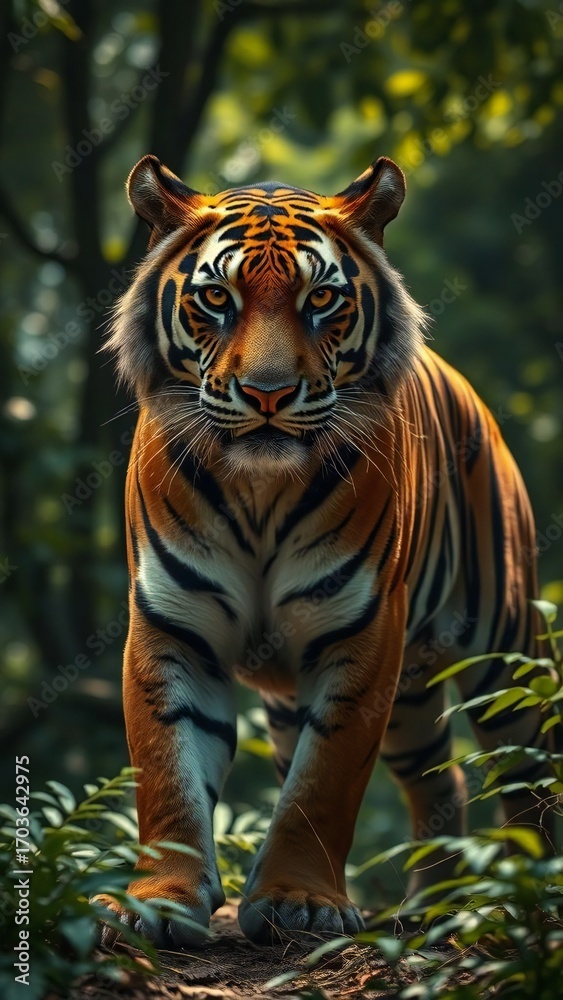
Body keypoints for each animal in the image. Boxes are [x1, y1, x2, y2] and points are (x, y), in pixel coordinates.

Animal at [101, 152, 554, 947]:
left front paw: (299, 901)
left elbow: (321, 786)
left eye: (321, 299)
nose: (267, 393)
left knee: (530, 764)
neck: (259, 491)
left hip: (505, 653)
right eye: (216, 297)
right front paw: (158, 903)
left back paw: (528, 892)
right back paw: (430, 905)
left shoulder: (362, 636)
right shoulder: (170, 627)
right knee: (442, 779)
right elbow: (167, 773)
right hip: (384, 702)